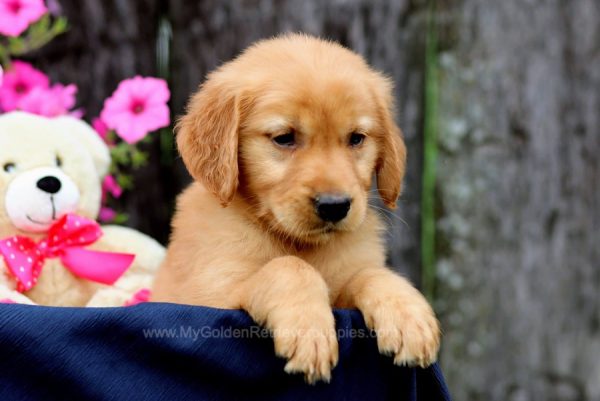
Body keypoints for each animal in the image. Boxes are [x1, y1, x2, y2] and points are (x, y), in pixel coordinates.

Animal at [152, 33, 438, 382]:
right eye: (284, 138)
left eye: (356, 138)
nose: (335, 206)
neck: (299, 243)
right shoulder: (209, 299)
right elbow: (287, 267)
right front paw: (309, 332)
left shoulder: (347, 279)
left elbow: (370, 273)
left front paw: (409, 314)